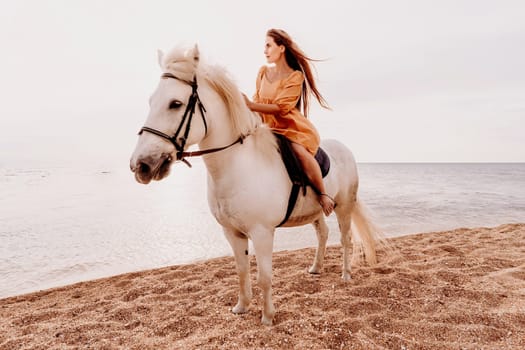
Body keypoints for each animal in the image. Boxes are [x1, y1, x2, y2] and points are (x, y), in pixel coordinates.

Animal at [130, 44, 384, 326]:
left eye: (175, 104)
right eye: (151, 102)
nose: (141, 165)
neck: (238, 166)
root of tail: (344, 148)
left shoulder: (262, 233)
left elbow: (264, 276)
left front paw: (267, 317)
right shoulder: (232, 232)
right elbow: (241, 271)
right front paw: (241, 307)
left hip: (344, 207)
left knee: (346, 238)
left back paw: (346, 274)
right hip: (316, 211)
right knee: (323, 234)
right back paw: (316, 268)